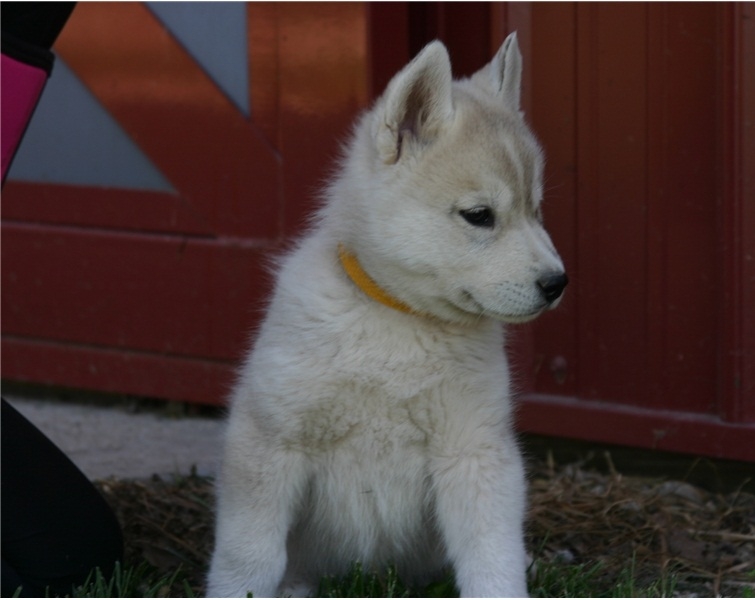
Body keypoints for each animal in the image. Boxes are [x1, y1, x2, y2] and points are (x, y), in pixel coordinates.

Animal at [207, 34, 568, 600]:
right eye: (480, 216)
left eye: (536, 210)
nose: (557, 283)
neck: (399, 323)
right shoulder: (268, 440)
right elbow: (248, 558)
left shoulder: (474, 448)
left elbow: (492, 554)